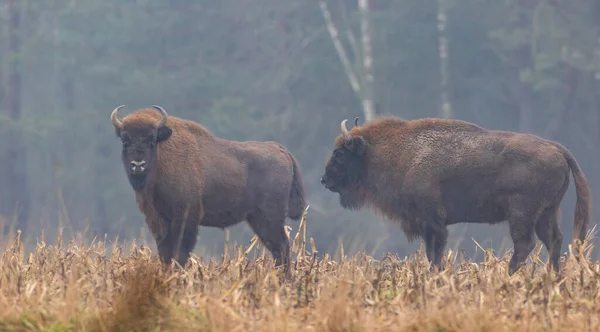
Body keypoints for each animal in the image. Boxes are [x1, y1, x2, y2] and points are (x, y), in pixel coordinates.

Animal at [110, 105, 308, 274]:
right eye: (125, 140)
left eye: (151, 140)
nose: (138, 165)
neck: (162, 157)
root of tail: (281, 150)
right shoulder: (158, 219)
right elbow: (165, 252)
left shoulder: (185, 216)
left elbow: (180, 252)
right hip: (258, 219)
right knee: (277, 248)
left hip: (270, 217)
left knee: (281, 246)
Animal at [318, 116, 592, 274]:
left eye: (340, 153)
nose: (324, 180)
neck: (402, 153)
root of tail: (557, 149)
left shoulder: (432, 222)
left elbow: (434, 254)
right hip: (547, 213)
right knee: (554, 240)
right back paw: (553, 278)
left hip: (522, 215)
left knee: (525, 244)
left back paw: (510, 275)